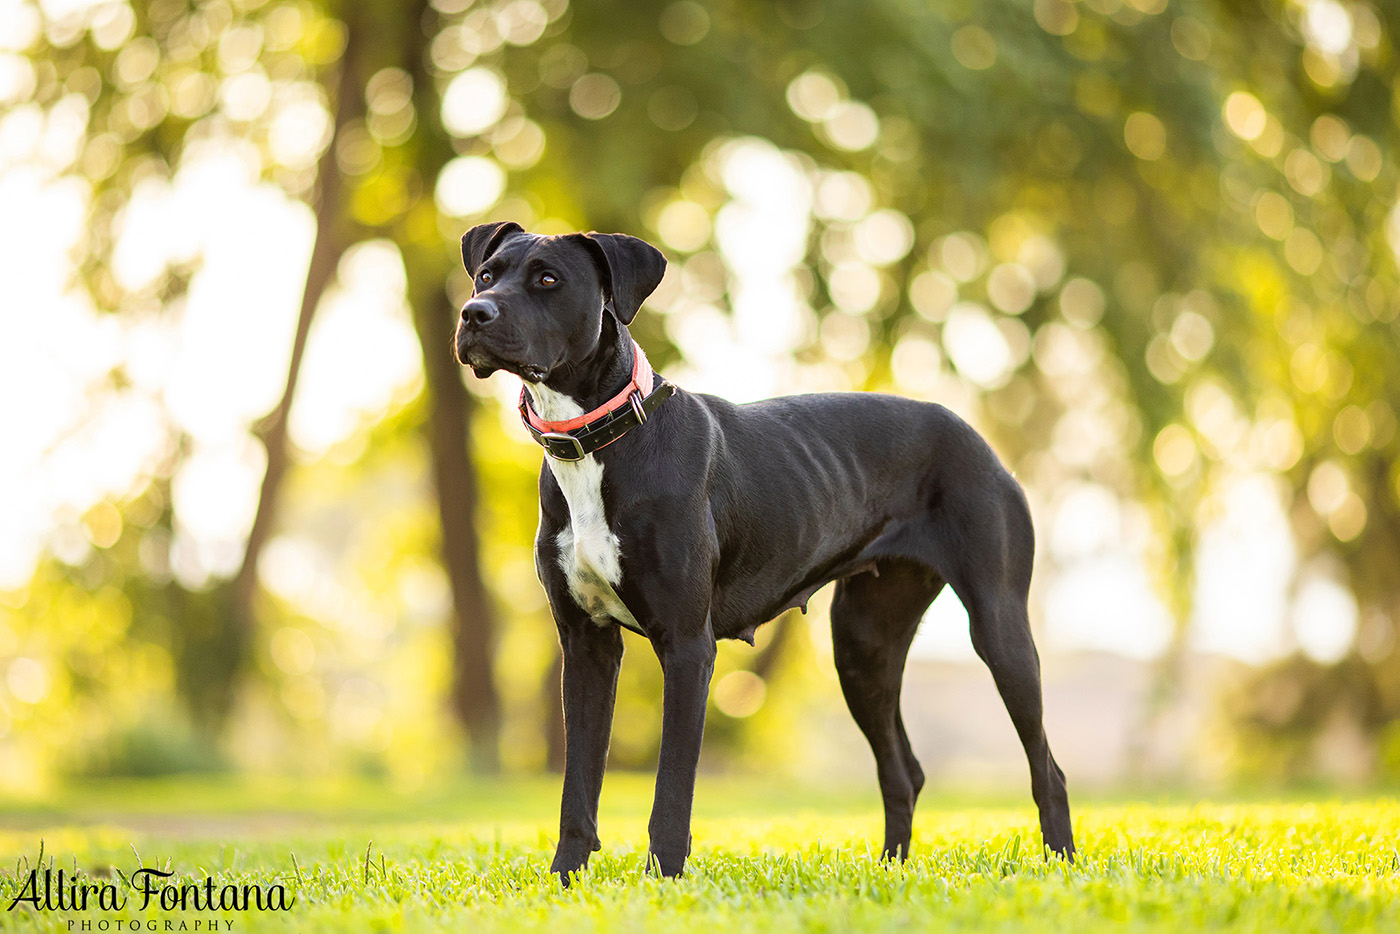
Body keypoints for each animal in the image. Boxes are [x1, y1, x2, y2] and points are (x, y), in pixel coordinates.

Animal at [453, 222, 1075, 879]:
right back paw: (892, 871)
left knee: (1047, 769)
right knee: (903, 770)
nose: (473, 313)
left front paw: (663, 879)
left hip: (999, 630)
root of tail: (974, 435)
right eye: (487, 275)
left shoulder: (687, 646)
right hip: (863, 645)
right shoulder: (586, 644)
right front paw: (566, 880)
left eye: (548, 279)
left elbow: (672, 787)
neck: (600, 440)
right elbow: (579, 783)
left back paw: (1060, 864)